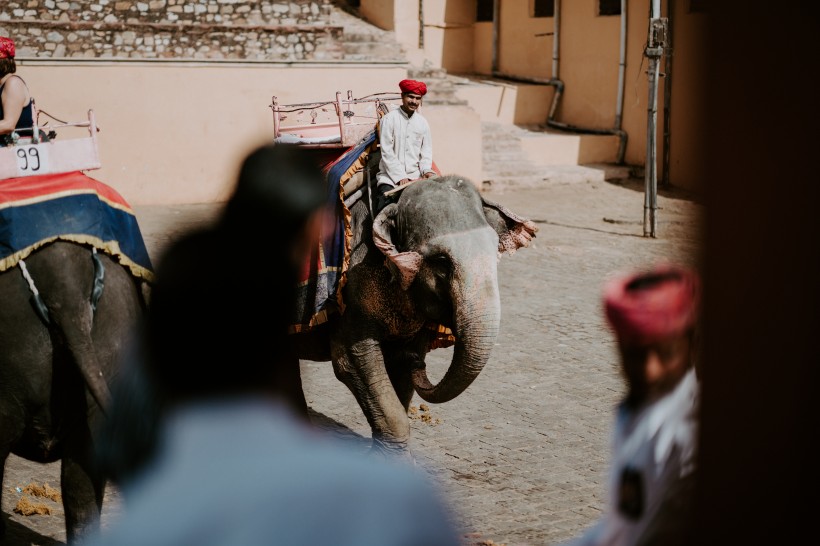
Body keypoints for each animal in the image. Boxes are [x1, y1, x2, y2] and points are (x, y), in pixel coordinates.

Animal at [290, 174, 540, 454]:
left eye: (495, 249)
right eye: (441, 261)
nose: (417, 363)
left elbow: (400, 369)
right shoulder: (350, 290)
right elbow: (349, 360)